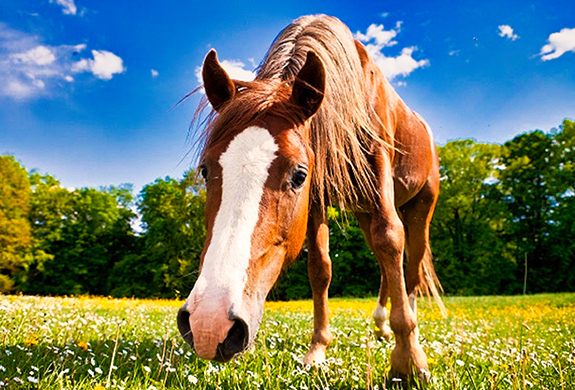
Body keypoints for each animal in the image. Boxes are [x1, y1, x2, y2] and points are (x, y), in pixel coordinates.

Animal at [177, 15, 446, 384]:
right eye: (205, 170)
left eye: (298, 175)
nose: (209, 323)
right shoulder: (316, 202)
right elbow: (320, 267)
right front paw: (317, 350)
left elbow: (391, 239)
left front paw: (409, 359)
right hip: (364, 210)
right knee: (384, 264)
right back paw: (380, 326)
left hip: (420, 208)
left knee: (411, 265)